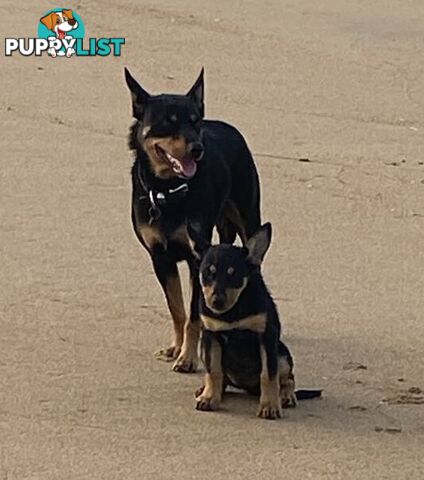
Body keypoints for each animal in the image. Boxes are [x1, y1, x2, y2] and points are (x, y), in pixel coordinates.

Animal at [124, 68, 260, 372]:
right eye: (168, 122)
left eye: (195, 123)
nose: (197, 148)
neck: (168, 190)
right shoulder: (161, 258)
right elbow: (177, 310)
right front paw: (177, 348)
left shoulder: (198, 259)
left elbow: (194, 314)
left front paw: (187, 357)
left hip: (249, 217)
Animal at [190, 223, 322, 418]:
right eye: (208, 272)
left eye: (233, 274)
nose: (216, 302)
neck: (233, 312)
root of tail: (249, 388)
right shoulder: (211, 336)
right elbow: (214, 370)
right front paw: (209, 398)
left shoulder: (266, 337)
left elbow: (268, 376)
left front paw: (270, 407)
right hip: (203, 348)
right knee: (219, 376)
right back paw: (206, 390)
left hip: (282, 353)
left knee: (287, 379)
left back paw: (286, 396)